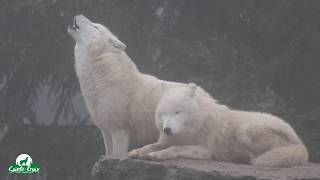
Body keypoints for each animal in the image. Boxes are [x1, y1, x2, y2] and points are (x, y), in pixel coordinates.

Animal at [129, 83, 308, 167]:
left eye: (178, 112)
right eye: (164, 114)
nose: (167, 129)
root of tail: (300, 143)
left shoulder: (204, 150)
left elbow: (174, 149)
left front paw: (158, 155)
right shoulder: (167, 139)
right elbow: (150, 146)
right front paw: (137, 151)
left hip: (244, 131)